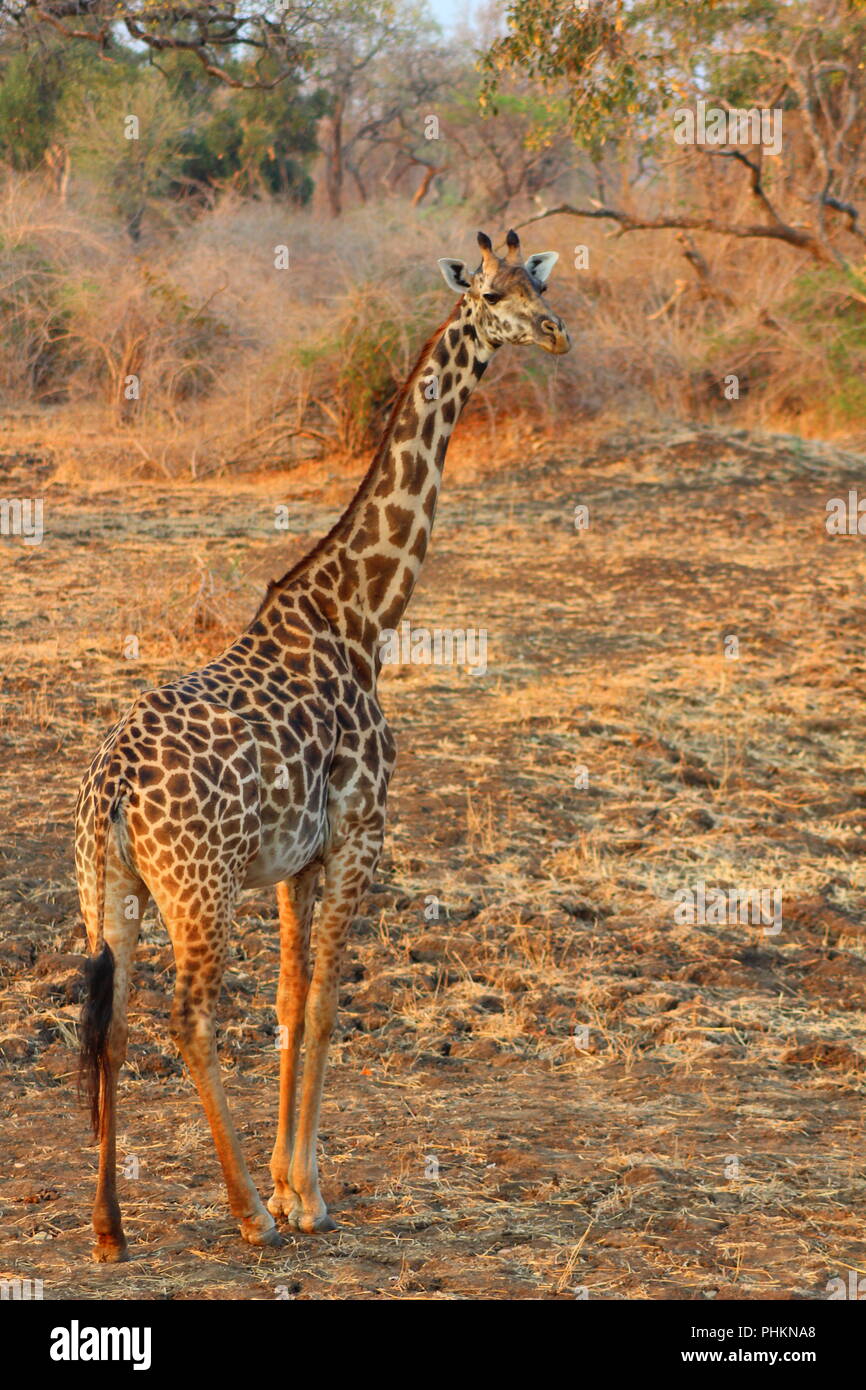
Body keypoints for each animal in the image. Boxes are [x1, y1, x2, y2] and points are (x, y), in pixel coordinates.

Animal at [74, 227, 569, 1262]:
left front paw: (291, 1180)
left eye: (538, 281)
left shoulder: (295, 862)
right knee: (188, 1019)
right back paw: (245, 1218)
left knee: (113, 1023)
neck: (364, 616)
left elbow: (290, 1002)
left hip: (110, 892)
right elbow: (331, 1004)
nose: (555, 332)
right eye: (491, 295)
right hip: (199, 889)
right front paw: (304, 1198)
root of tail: (110, 790)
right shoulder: (356, 838)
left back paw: (110, 1230)